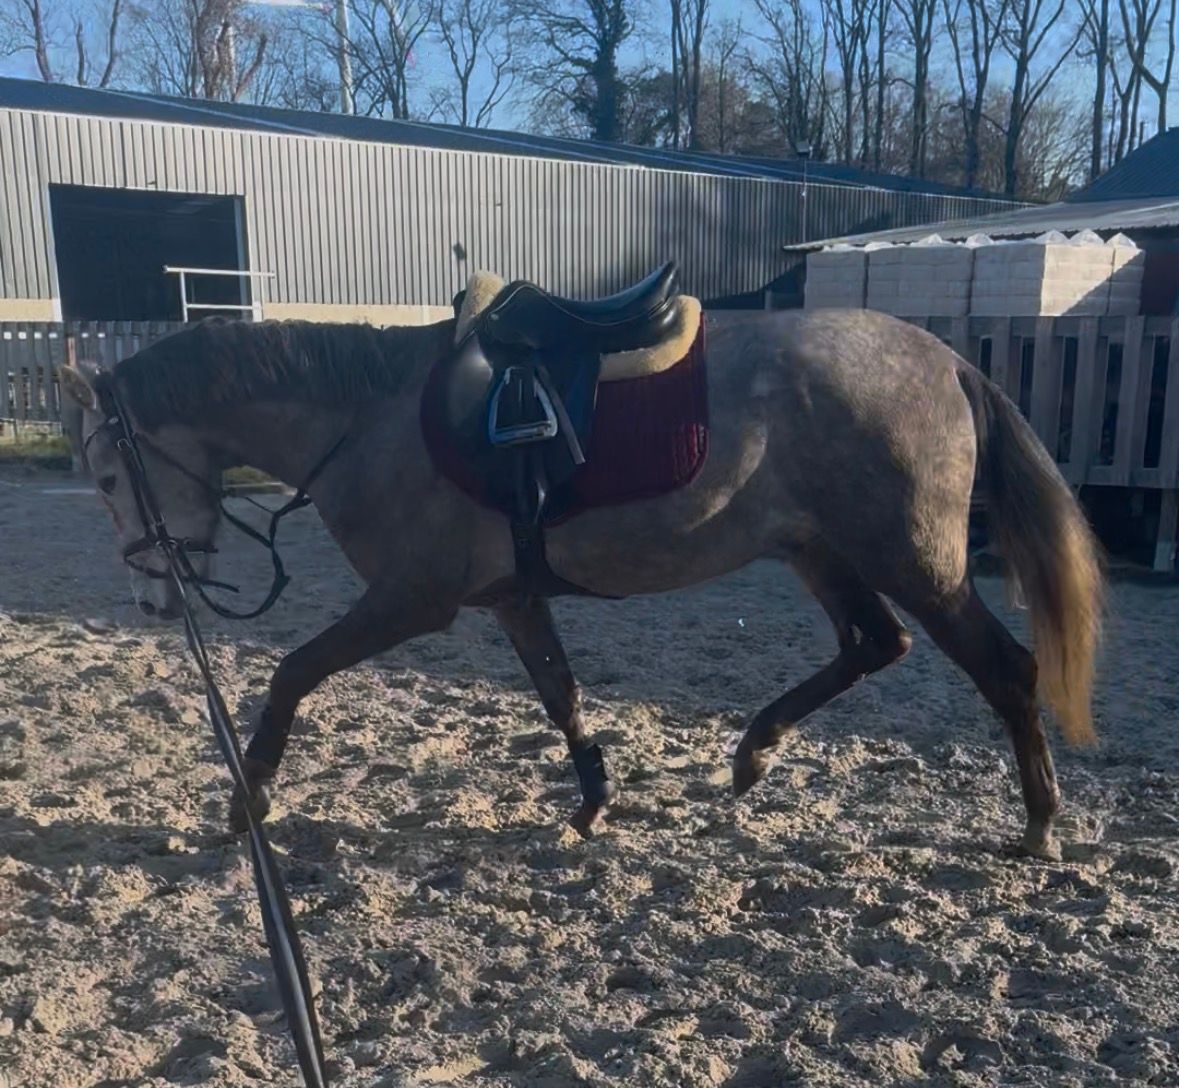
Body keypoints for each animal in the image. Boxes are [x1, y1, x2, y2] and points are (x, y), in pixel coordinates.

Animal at [60, 301, 1102, 861]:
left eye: (108, 475)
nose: (152, 599)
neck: (373, 415)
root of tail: (947, 359)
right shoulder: (512, 599)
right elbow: (561, 698)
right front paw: (594, 801)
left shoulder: (411, 603)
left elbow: (290, 675)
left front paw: (248, 800)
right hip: (819, 551)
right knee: (872, 644)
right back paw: (753, 751)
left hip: (913, 563)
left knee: (1003, 672)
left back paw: (1038, 823)